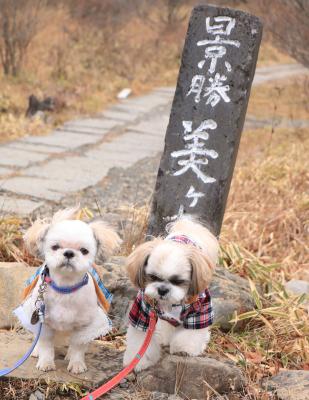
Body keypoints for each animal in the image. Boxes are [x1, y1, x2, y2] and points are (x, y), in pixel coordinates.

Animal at [18, 208, 121, 374]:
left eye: (84, 251)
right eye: (55, 247)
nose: (68, 253)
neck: (65, 288)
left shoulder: (85, 325)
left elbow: (78, 345)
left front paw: (77, 363)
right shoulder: (44, 322)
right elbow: (46, 344)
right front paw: (45, 362)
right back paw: (36, 351)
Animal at [121, 217, 218, 370]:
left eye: (178, 281)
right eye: (153, 277)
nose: (162, 290)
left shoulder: (200, 309)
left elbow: (191, 332)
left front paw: (184, 348)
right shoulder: (143, 312)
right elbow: (140, 339)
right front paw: (139, 361)